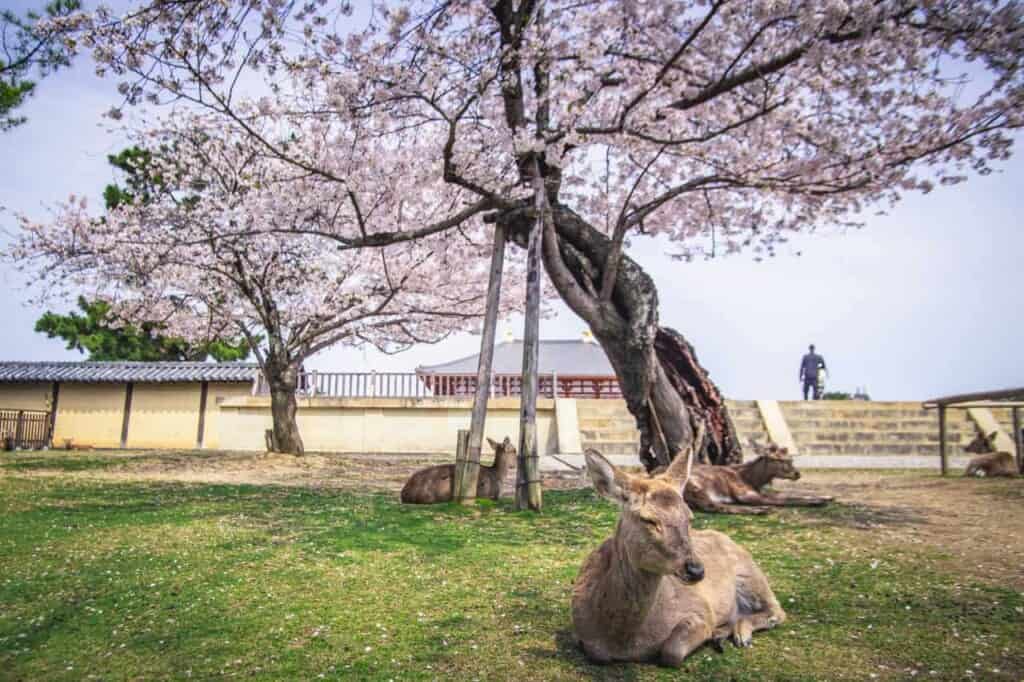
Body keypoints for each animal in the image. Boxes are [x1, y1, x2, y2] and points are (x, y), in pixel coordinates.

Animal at [573, 424, 786, 667]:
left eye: (689, 516)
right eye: (648, 519)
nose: (696, 570)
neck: (627, 641)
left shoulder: (700, 610)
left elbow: (672, 652)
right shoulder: (584, 635)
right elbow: (597, 653)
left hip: (750, 573)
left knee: (777, 610)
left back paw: (740, 634)